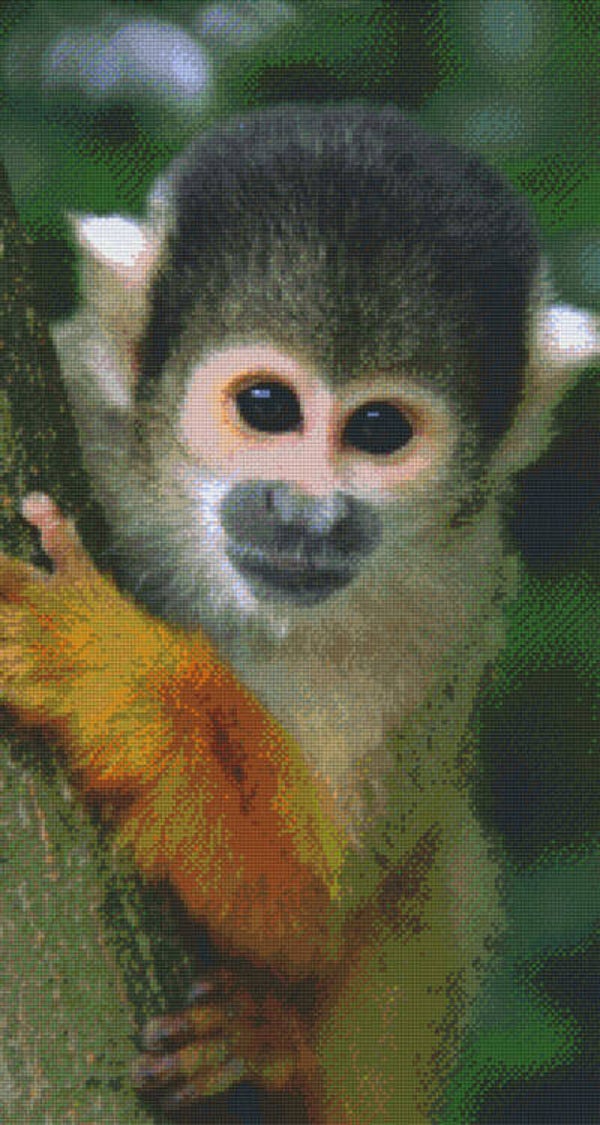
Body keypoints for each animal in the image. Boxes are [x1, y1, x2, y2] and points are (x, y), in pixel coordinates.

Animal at [0, 103, 597, 1123]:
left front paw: (108, 665)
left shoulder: (453, 597)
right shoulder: (87, 403)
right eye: (267, 405)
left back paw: (277, 1060)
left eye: (380, 430)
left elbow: (304, 912)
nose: (306, 514)